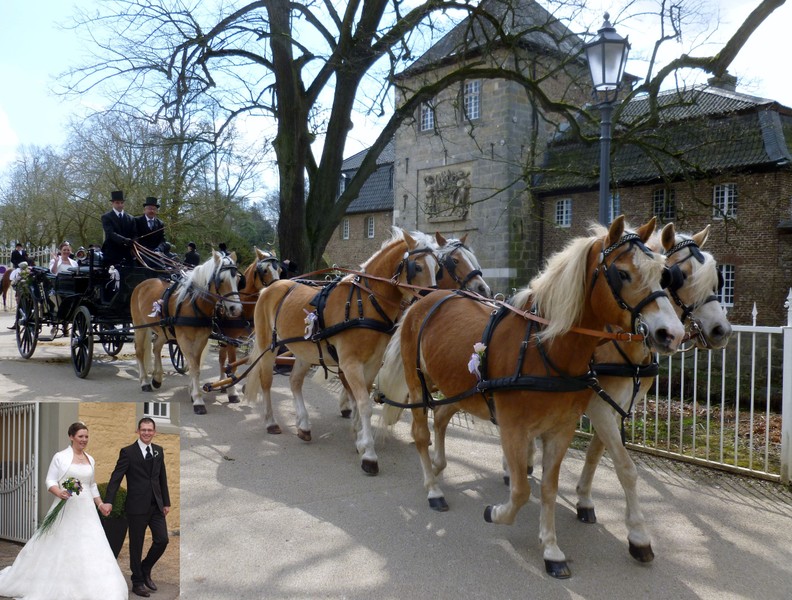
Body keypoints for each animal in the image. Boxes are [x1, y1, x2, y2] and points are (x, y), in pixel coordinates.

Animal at [130, 251, 243, 414]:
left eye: (238, 279)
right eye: (221, 280)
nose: (236, 309)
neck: (194, 304)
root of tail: (141, 284)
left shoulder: (201, 339)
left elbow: (194, 364)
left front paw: (192, 391)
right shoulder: (183, 340)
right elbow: (194, 367)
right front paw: (198, 399)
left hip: (164, 331)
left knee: (156, 348)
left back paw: (157, 378)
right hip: (140, 326)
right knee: (139, 351)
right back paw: (145, 382)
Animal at [215, 246, 284, 406]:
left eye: (280, 270)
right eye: (264, 270)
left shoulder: (252, 338)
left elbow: (252, 360)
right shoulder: (232, 339)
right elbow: (233, 364)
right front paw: (232, 392)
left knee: (221, 358)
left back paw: (222, 383)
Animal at [244, 227, 440, 476]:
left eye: (438, 267)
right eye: (418, 266)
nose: (430, 297)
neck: (364, 302)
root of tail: (271, 287)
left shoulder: (372, 363)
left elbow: (359, 399)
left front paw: (360, 438)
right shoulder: (349, 363)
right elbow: (364, 404)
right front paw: (369, 454)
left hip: (305, 351)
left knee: (295, 382)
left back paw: (304, 425)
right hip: (268, 346)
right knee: (266, 381)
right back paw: (271, 422)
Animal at [378, 217, 688, 576]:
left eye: (663, 274)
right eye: (622, 273)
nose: (671, 333)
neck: (545, 348)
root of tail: (426, 301)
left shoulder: (561, 430)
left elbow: (549, 488)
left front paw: (551, 548)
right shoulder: (514, 429)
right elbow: (521, 491)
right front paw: (497, 513)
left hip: (456, 387)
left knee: (440, 418)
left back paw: (440, 464)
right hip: (417, 383)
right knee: (420, 433)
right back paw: (432, 488)